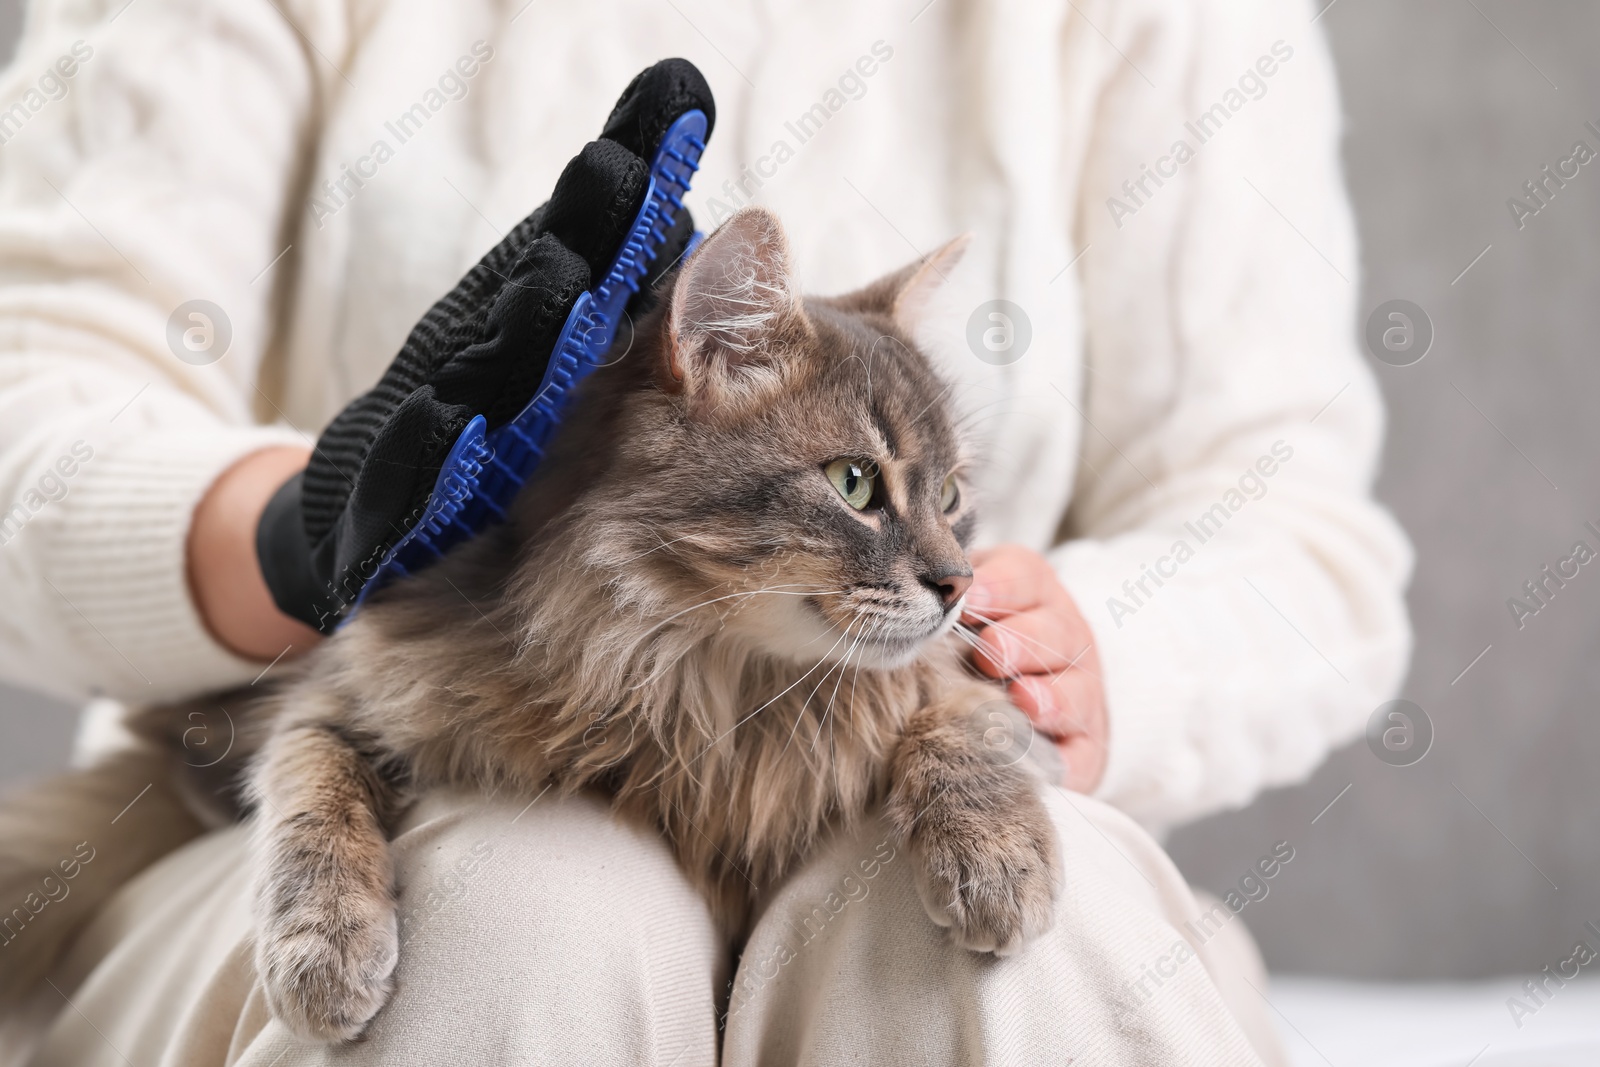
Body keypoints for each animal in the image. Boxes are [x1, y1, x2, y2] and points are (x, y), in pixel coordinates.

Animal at [0, 206, 1062, 1043]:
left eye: (953, 496)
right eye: (854, 485)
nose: (958, 584)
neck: (709, 685)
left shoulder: (948, 678)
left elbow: (961, 722)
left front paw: (998, 858)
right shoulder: (342, 688)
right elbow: (311, 800)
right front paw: (327, 948)